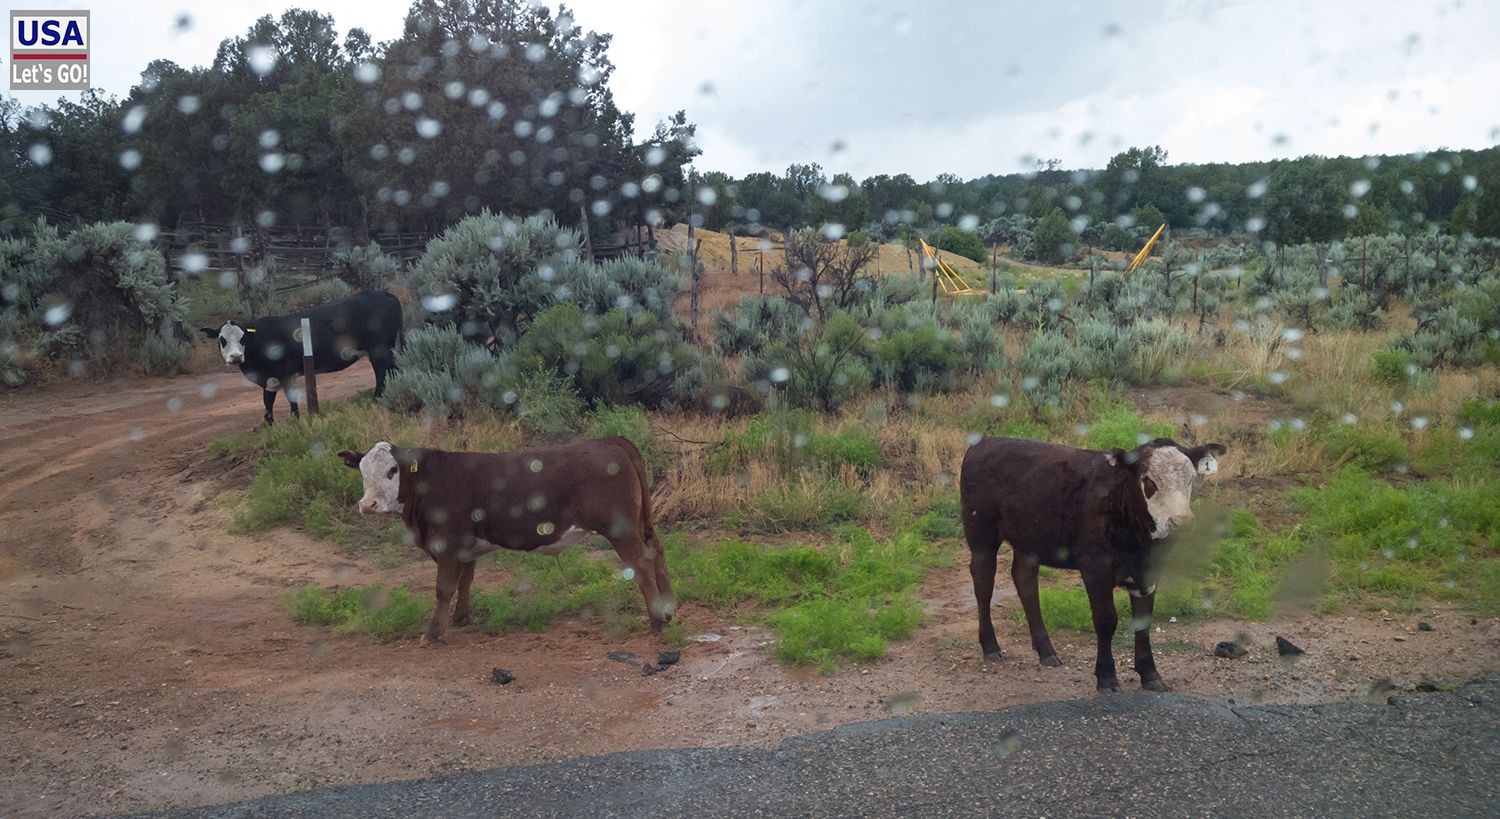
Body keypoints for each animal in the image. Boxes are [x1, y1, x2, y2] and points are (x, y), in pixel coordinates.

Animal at [207, 289, 405, 423]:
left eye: (242, 338)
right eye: (222, 339)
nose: (235, 357)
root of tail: (382, 293)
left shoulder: (286, 374)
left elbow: (291, 400)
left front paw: (295, 421)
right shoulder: (270, 380)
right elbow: (267, 404)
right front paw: (269, 426)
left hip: (380, 351)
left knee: (385, 372)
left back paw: (377, 399)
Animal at [340, 438, 675, 642]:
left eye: (392, 470)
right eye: (361, 471)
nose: (367, 505)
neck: (429, 482)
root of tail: (609, 441)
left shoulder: (447, 544)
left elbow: (444, 589)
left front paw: (433, 633)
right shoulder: (466, 548)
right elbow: (465, 581)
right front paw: (461, 617)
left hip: (621, 530)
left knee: (641, 564)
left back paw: (656, 622)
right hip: (640, 525)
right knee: (657, 551)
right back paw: (669, 609)